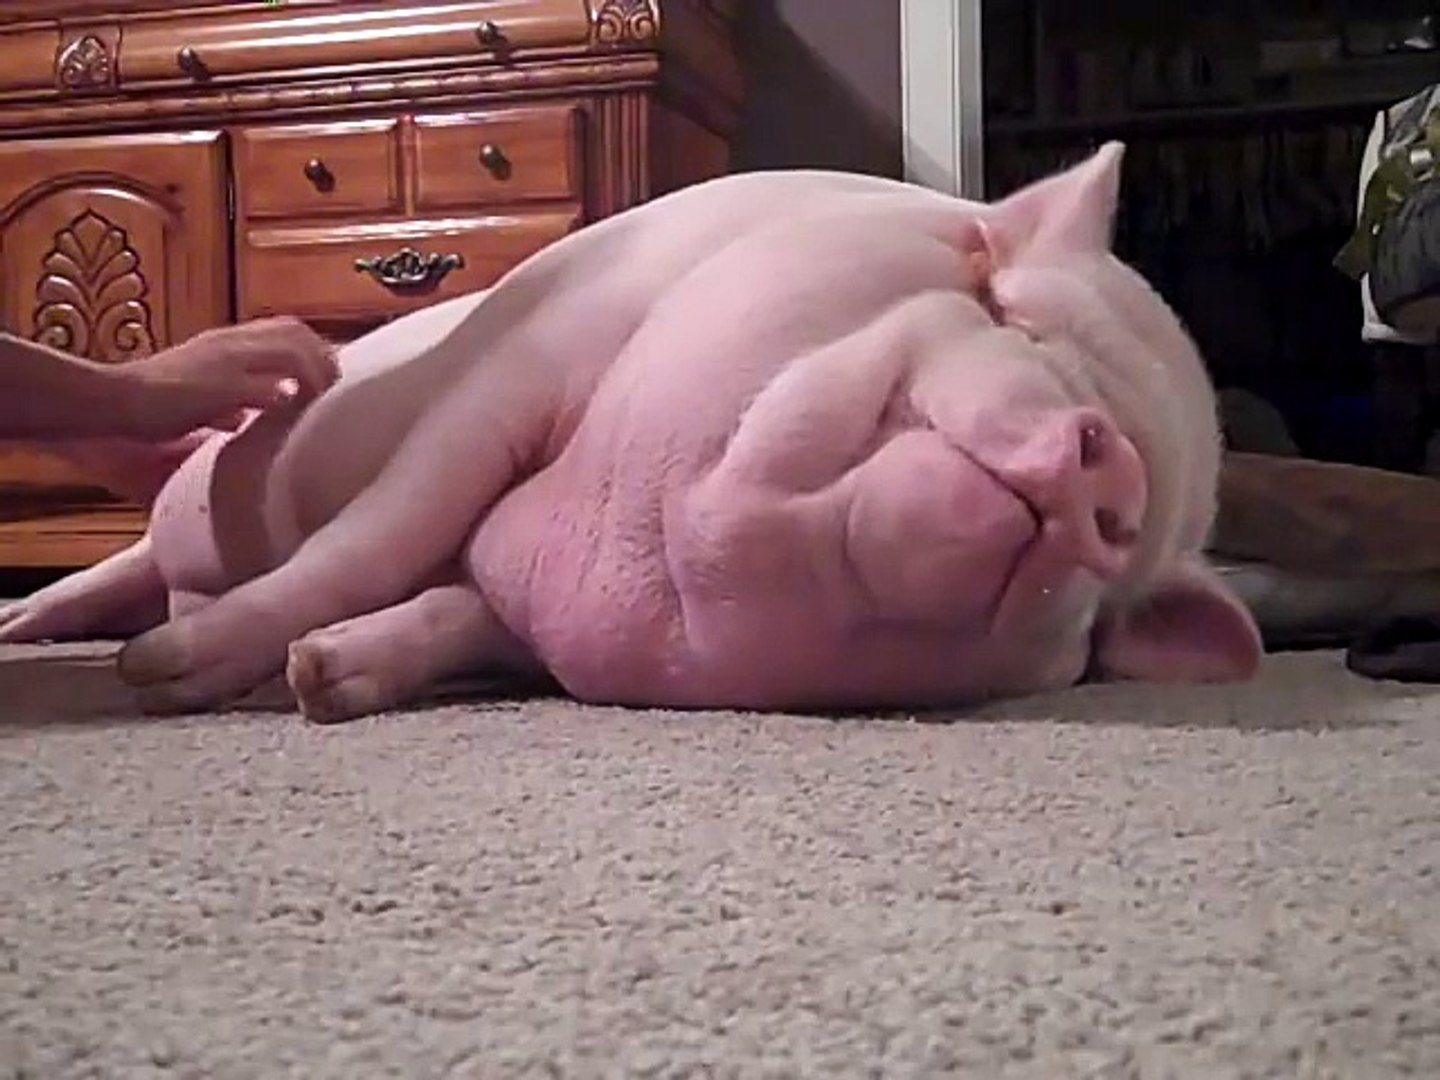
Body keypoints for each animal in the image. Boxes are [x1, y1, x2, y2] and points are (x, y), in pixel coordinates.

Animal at [0, 142, 1262, 721]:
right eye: (1000, 305)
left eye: (1121, 592)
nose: (1108, 458)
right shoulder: (517, 372)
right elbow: (380, 534)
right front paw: (168, 678)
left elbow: (454, 606)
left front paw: (325, 680)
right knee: (125, 557)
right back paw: (48, 629)